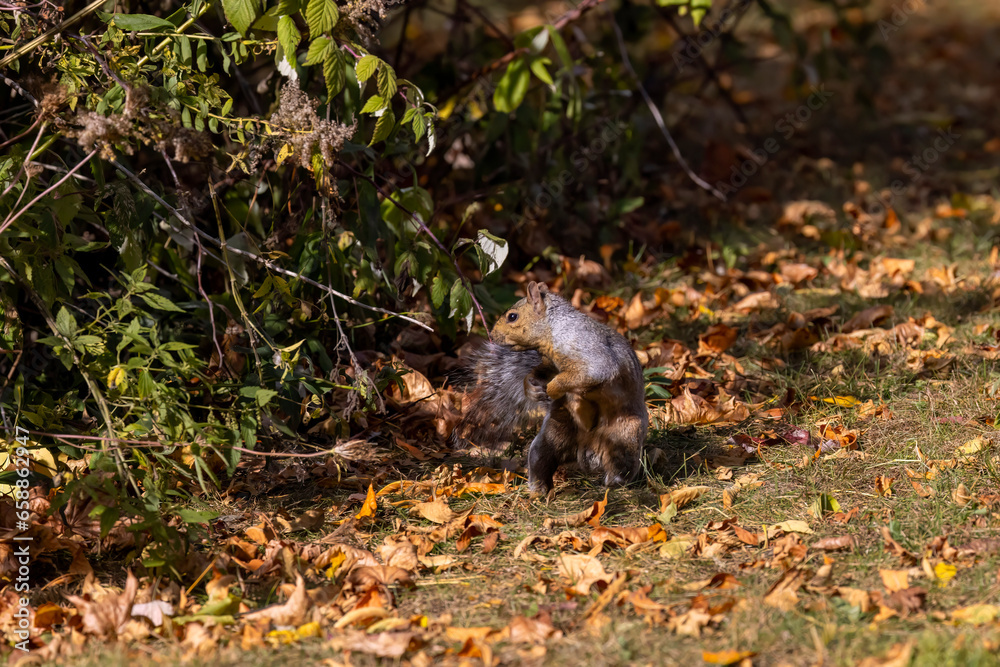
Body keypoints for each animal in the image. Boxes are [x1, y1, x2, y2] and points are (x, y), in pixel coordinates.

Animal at [456, 282, 648, 496]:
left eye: (512, 316)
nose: (492, 335)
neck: (552, 330)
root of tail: (588, 454)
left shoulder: (587, 348)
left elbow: (593, 372)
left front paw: (553, 390)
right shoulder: (549, 362)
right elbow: (541, 373)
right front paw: (530, 387)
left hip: (625, 436)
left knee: (621, 464)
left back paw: (613, 482)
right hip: (553, 434)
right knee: (541, 458)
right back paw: (539, 489)